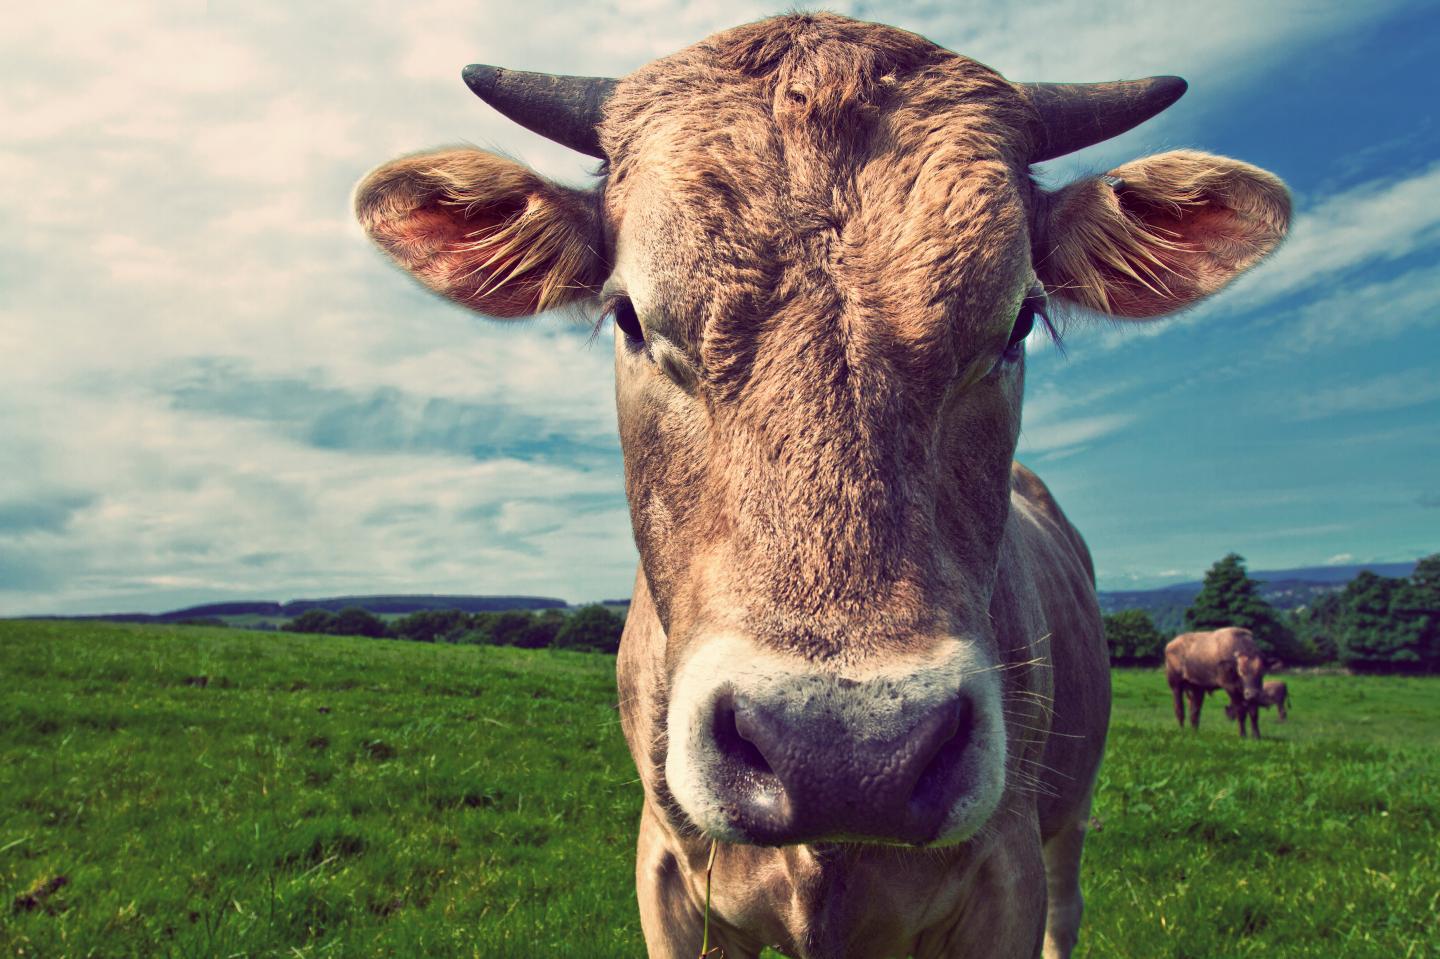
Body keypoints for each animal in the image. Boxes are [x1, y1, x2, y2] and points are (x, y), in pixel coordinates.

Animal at [354, 13, 1289, 958]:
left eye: (1019, 319)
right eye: (628, 316)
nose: (846, 754)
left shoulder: (1009, 874)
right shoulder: (668, 876)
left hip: (1071, 816)